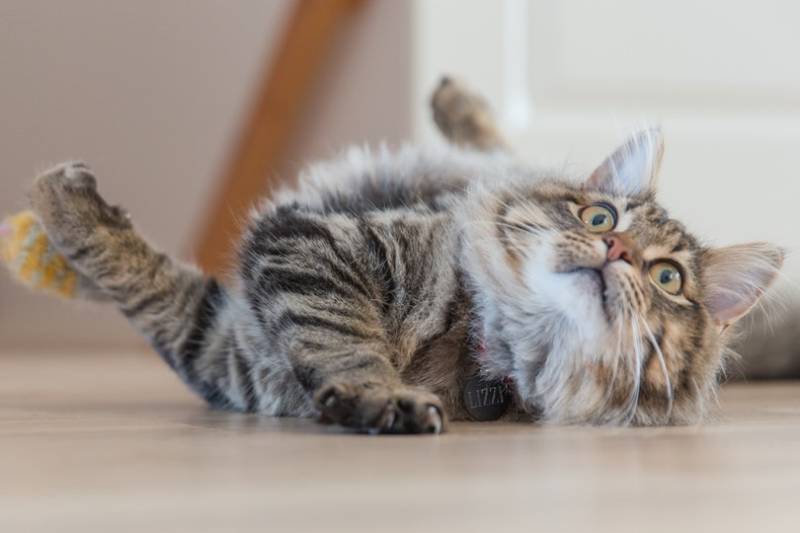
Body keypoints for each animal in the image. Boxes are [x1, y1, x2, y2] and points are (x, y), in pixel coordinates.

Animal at [23, 77, 780, 430]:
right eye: (601, 215)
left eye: (668, 277)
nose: (615, 246)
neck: (490, 346)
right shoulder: (297, 263)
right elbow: (135, 268)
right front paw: (58, 196)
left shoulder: (229, 339)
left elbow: (330, 338)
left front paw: (379, 398)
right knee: (497, 150)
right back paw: (454, 98)